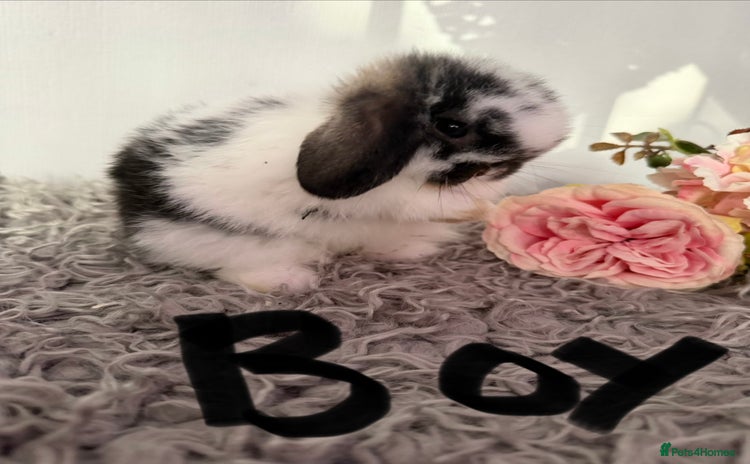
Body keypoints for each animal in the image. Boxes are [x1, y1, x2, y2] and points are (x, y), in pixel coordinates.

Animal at [108, 52, 569, 293]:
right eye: (452, 127)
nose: (512, 164)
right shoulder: (395, 196)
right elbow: (422, 203)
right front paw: (482, 208)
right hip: (237, 244)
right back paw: (292, 278)